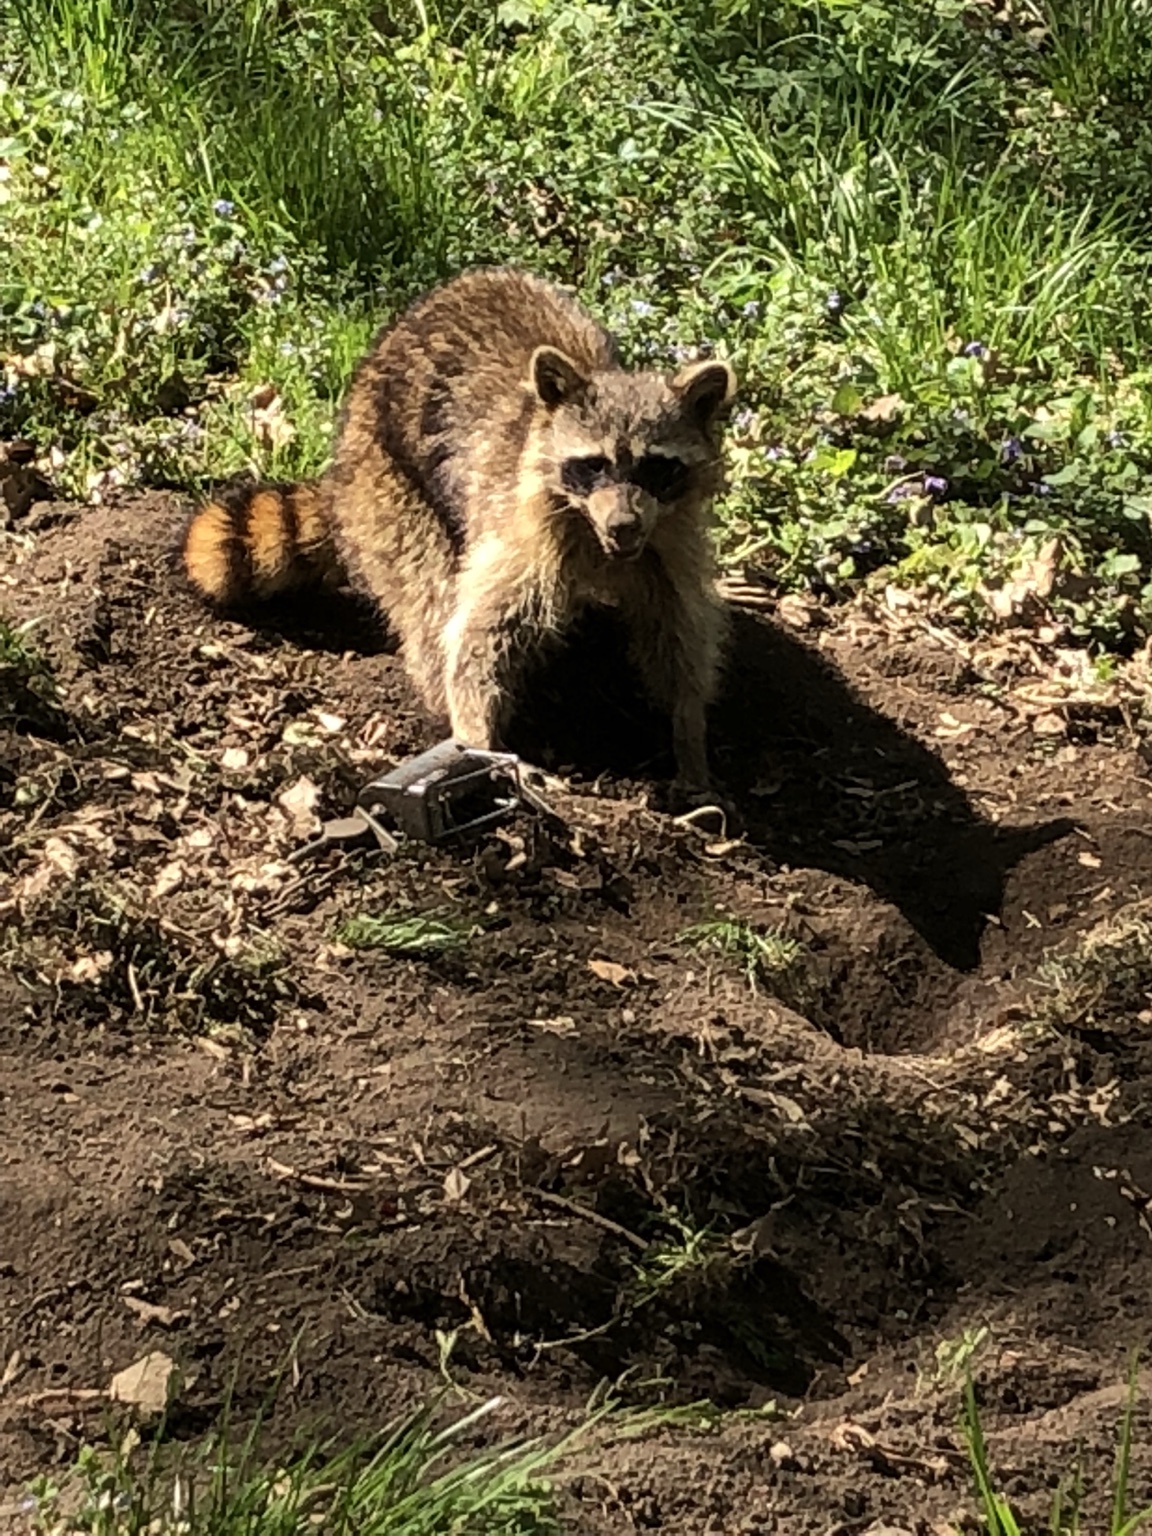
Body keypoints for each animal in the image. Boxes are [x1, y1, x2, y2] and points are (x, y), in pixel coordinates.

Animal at [182, 267, 736, 794]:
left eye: (656, 468)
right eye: (593, 465)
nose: (623, 524)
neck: (598, 538)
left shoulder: (667, 541)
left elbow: (678, 637)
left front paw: (690, 737)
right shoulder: (519, 530)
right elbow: (479, 634)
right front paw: (476, 733)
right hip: (385, 481)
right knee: (429, 599)